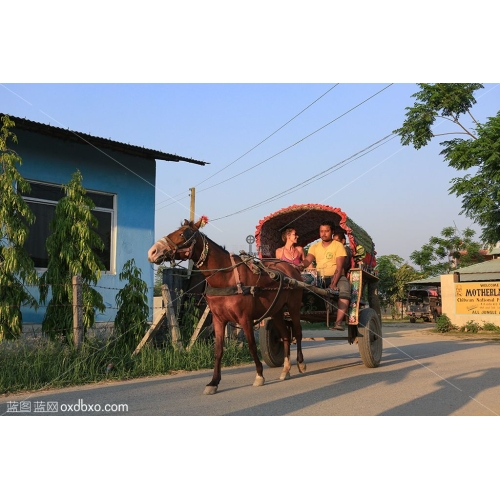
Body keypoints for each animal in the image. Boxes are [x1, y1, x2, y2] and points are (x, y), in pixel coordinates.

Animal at [146, 217, 306, 396]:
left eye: (182, 234)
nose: (152, 252)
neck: (226, 277)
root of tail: (291, 269)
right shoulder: (218, 320)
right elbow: (218, 350)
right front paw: (213, 382)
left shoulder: (245, 319)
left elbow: (252, 347)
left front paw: (259, 375)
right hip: (276, 311)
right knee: (285, 335)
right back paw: (286, 369)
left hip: (293, 307)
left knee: (297, 333)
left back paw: (300, 363)